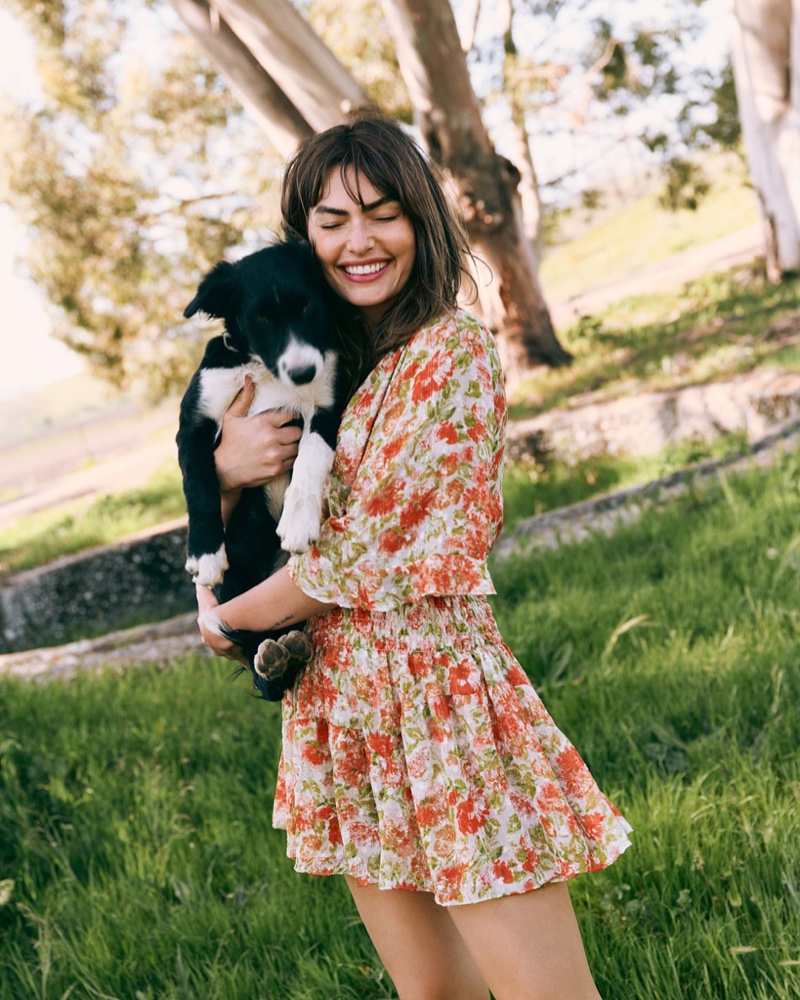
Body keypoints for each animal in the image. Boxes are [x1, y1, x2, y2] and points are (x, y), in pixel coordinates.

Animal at [177, 238, 344, 700]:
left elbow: (310, 457)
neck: (265, 372)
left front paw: (299, 521)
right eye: (261, 318)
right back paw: (273, 661)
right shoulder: (194, 423)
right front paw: (204, 554)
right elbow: (200, 484)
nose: (303, 372)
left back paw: (284, 655)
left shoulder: (326, 407)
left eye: (308, 305)